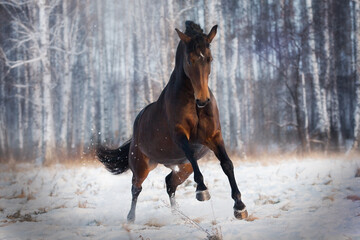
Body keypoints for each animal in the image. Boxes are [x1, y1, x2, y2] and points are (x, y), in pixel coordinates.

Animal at [96, 21, 248, 223]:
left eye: (210, 59)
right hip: (141, 165)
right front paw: (202, 191)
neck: (193, 104)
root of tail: (137, 125)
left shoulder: (214, 137)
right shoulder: (180, 136)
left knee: (170, 182)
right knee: (136, 188)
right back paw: (131, 218)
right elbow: (191, 154)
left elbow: (227, 164)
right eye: (190, 60)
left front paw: (240, 207)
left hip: (182, 167)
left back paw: (177, 215)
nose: (202, 100)